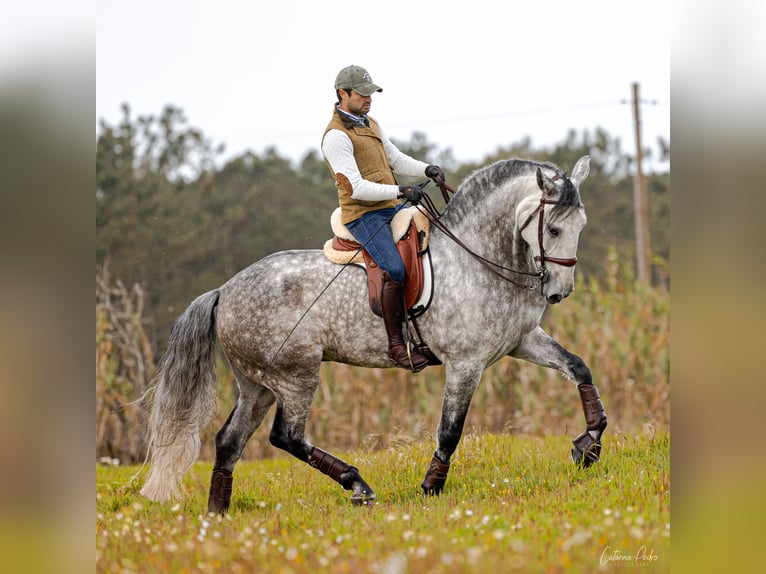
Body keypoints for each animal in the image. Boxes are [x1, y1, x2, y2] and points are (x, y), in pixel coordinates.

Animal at [136, 155, 608, 510]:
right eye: (553, 228)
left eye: (581, 226)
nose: (559, 292)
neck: (479, 257)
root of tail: (225, 291)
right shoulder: (465, 364)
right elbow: (450, 430)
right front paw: (431, 487)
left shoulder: (522, 342)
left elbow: (580, 369)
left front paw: (589, 446)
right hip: (296, 376)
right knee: (285, 436)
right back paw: (356, 484)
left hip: (259, 385)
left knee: (229, 441)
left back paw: (218, 511)